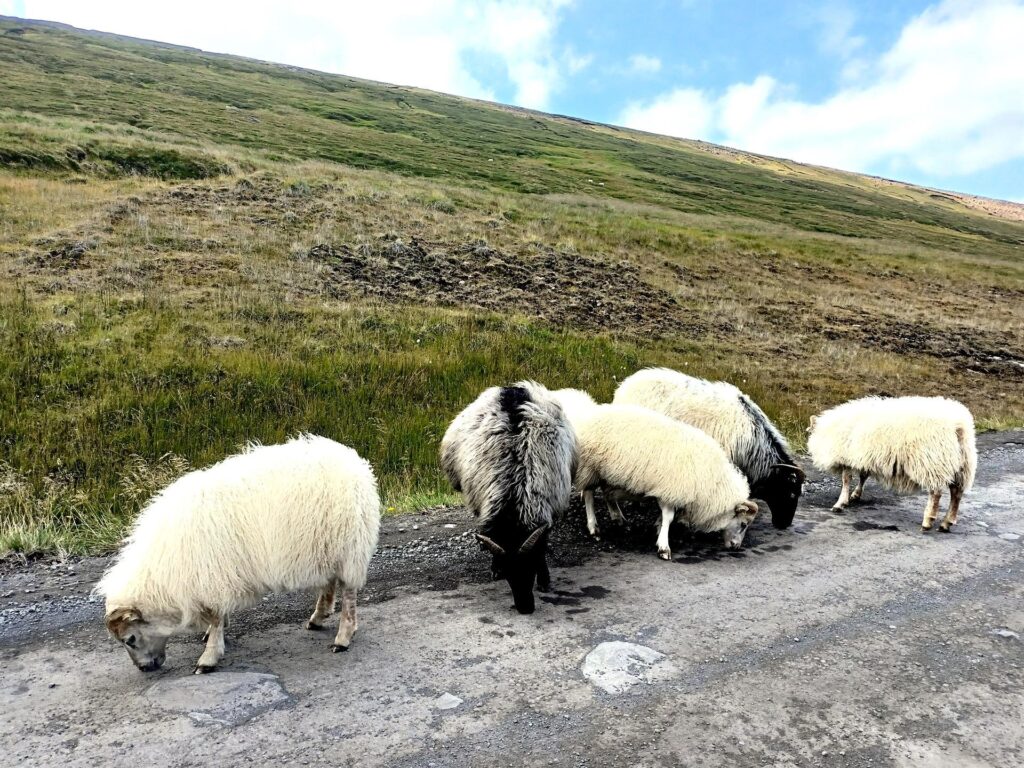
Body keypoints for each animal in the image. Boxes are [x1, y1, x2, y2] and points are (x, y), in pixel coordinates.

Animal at [96, 436, 380, 675]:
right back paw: (319, 617)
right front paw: (215, 633)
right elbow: (218, 614)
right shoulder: (214, 576)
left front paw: (208, 657)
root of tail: (356, 463)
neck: (162, 573)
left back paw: (343, 637)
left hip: (350, 548)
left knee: (349, 594)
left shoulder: (210, 575)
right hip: (325, 548)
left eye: (130, 639)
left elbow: (214, 616)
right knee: (329, 582)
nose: (145, 669)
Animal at [577, 405, 761, 561]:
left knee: (607, 493)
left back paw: (618, 517)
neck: (714, 482)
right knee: (589, 494)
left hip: (609, 473)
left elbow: (666, 516)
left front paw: (658, 529)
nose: (736, 547)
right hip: (590, 467)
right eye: (743, 524)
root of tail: (590, 415)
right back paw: (593, 527)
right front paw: (664, 547)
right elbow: (669, 517)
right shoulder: (671, 488)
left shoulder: (670, 491)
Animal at [806, 393, 974, 532]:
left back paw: (928, 521)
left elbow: (846, 480)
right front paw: (855, 494)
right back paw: (947, 522)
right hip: (962, 466)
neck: (829, 430)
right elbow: (863, 476)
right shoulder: (865, 456)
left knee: (936, 493)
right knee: (956, 493)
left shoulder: (846, 456)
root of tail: (958, 425)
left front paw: (840, 503)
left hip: (932, 462)